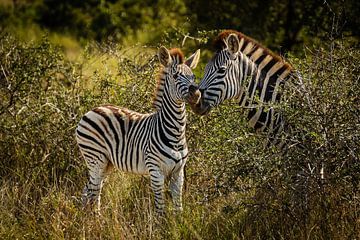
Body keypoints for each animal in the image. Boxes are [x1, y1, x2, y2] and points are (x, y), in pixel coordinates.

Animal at [75, 46, 201, 213]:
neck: (176, 132)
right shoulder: (155, 171)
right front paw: (160, 220)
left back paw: (86, 216)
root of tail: (93, 109)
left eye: (193, 76)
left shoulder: (178, 172)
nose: (196, 93)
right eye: (175, 76)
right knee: (94, 192)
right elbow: (160, 208)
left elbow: (178, 207)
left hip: (106, 163)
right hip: (95, 158)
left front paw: (178, 220)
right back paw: (94, 218)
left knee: (89, 189)